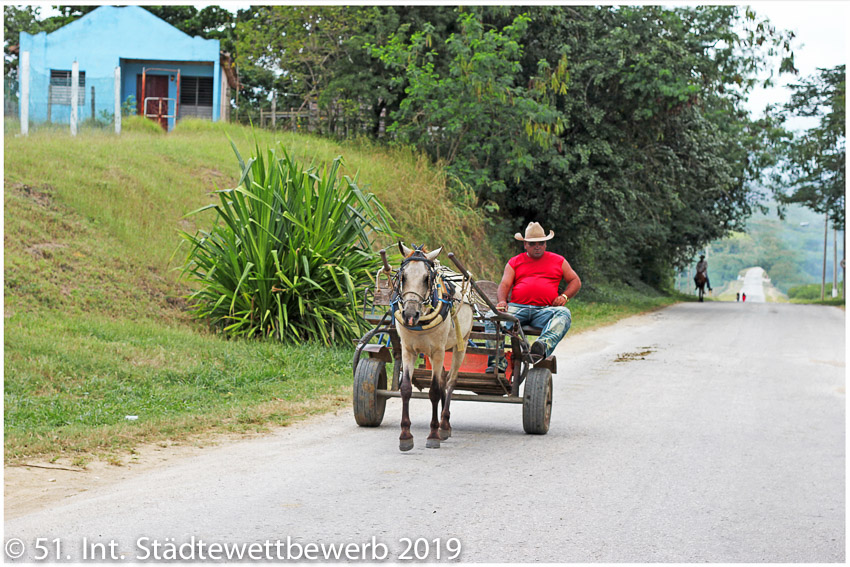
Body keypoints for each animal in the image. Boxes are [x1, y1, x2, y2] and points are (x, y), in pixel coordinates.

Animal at [392, 244, 474, 452]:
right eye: (402, 277)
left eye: (426, 278)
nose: (409, 314)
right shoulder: (407, 350)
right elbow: (406, 388)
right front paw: (405, 435)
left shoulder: (438, 351)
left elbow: (435, 390)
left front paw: (434, 434)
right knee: (445, 379)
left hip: (461, 344)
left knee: (451, 381)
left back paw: (444, 424)